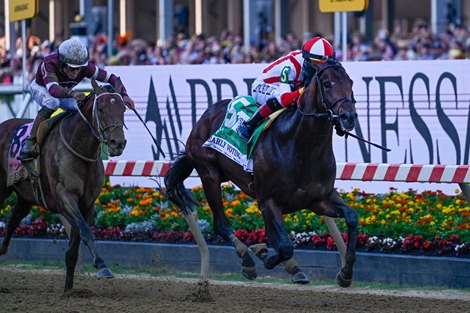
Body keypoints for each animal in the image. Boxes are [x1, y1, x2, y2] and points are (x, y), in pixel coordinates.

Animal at [0, 79, 126, 292]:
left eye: (123, 108)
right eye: (100, 109)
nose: (118, 143)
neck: (79, 148)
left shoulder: (87, 204)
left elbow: (74, 248)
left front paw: (69, 290)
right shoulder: (64, 197)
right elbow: (86, 232)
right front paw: (101, 265)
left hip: (25, 197)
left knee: (12, 220)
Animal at [167, 59, 358, 286]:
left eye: (350, 83)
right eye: (327, 84)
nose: (348, 116)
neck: (299, 146)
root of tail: (206, 115)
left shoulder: (319, 199)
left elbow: (352, 216)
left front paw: (345, 274)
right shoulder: (268, 201)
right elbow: (285, 245)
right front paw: (262, 254)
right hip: (208, 174)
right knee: (221, 224)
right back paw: (247, 260)